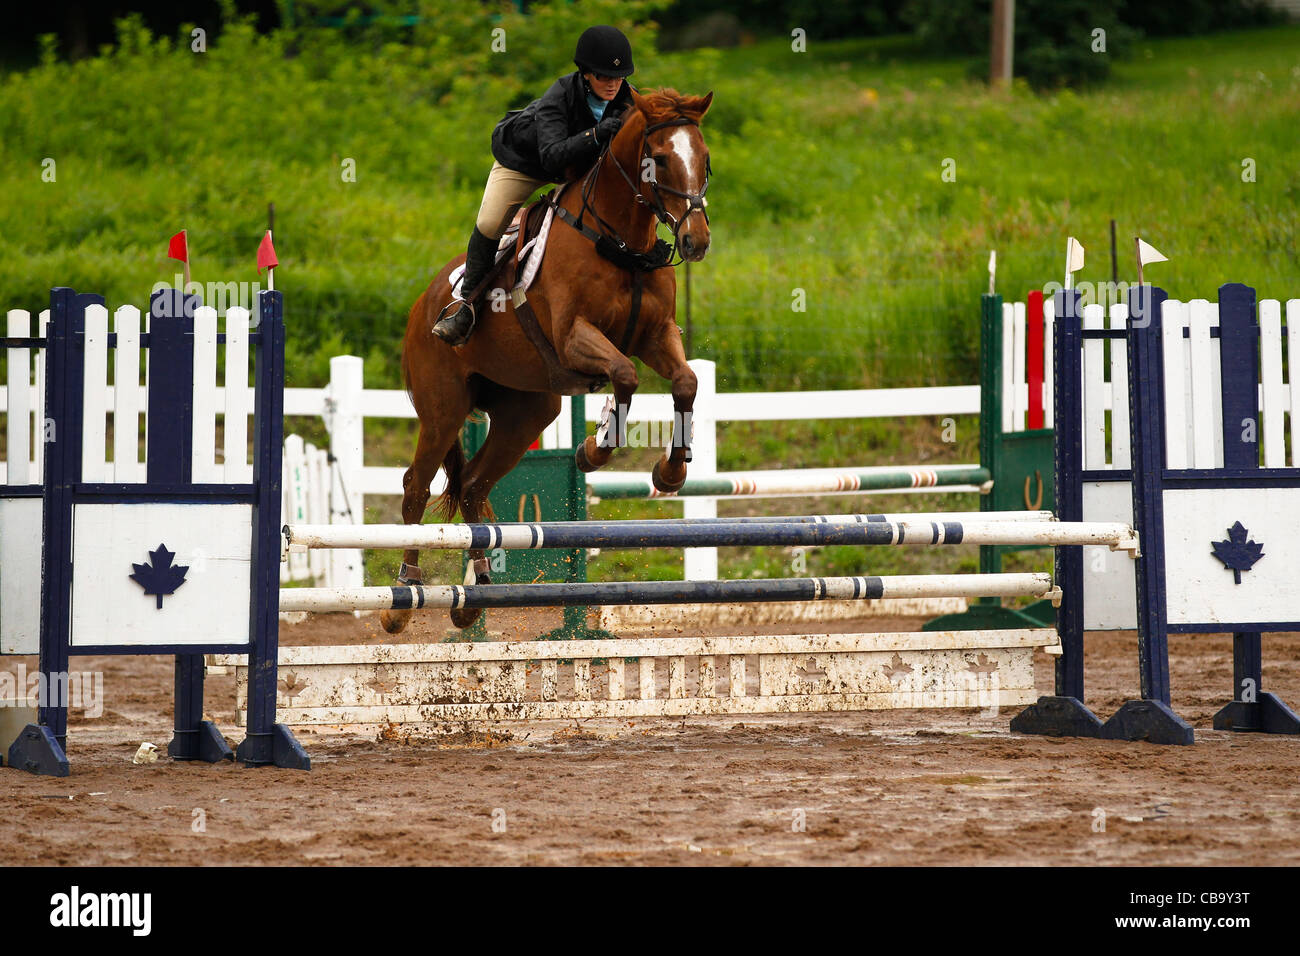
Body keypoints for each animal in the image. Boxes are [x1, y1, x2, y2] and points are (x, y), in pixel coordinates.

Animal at [379, 83, 717, 634]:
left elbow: (685, 382)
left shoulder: (657, 334)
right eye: (661, 160)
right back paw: (404, 596)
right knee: (416, 487)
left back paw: (475, 597)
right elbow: (624, 375)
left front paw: (669, 473)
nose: (696, 241)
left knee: (471, 485)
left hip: (527, 413)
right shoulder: (573, 337)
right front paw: (594, 450)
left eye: (704, 159)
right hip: (443, 409)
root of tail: (420, 306)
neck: (622, 242)